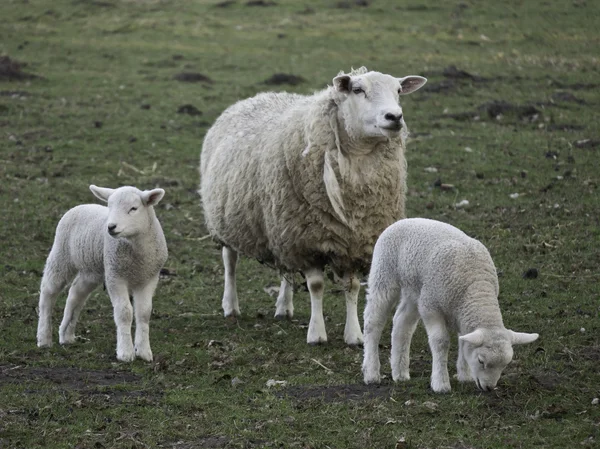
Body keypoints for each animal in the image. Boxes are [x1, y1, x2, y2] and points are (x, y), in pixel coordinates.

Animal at [36, 184, 168, 362]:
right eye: (110, 207)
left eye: (133, 208)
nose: (111, 227)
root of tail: (81, 205)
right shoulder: (115, 276)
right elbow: (124, 312)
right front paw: (125, 352)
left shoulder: (149, 278)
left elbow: (144, 312)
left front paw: (144, 351)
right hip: (61, 256)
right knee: (48, 293)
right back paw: (44, 338)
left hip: (92, 271)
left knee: (75, 294)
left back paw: (66, 335)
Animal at [200, 65, 426, 344]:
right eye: (357, 89)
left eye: (398, 90)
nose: (394, 117)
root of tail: (257, 97)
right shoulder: (308, 238)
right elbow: (316, 286)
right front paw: (317, 334)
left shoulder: (352, 240)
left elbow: (352, 286)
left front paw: (355, 335)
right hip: (229, 219)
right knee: (230, 261)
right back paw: (231, 306)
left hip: (282, 226)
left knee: (285, 269)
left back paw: (283, 307)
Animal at [360, 218, 540, 392]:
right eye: (481, 361)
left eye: (505, 365)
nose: (489, 388)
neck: (475, 289)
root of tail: (402, 220)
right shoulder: (431, 307)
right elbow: (441, 342)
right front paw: (441, 383)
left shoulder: (461, 313)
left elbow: (463, 341)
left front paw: (464, 375)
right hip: (384, 275)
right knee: (373, 322)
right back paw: (371, 373)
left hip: (416, 290)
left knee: (402, 323)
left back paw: (400, 373)